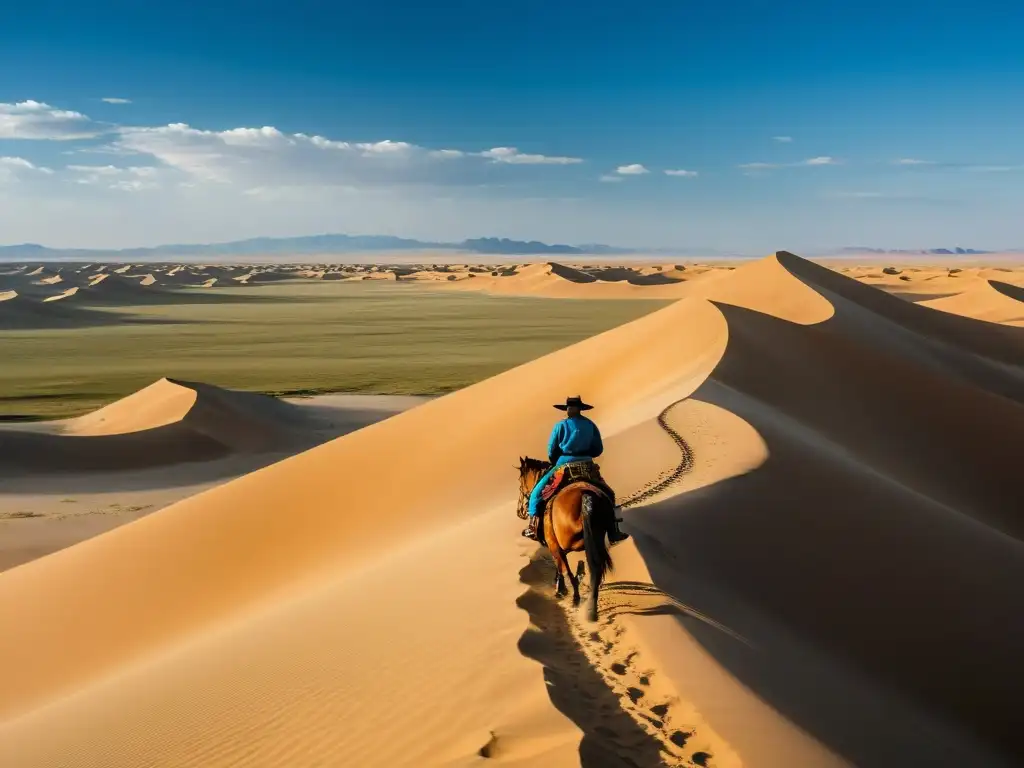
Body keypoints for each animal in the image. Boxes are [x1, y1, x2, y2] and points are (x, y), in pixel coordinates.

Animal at [516, 456, 610, 626]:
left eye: (521, 479)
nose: (519, 510)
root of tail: (584, 495)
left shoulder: (554, 545)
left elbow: (561, 567)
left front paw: (561, 589)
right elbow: (561, 566)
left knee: (574, 570)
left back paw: (576, 598)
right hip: (596, 538)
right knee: (596, 567)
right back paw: (591, 610)